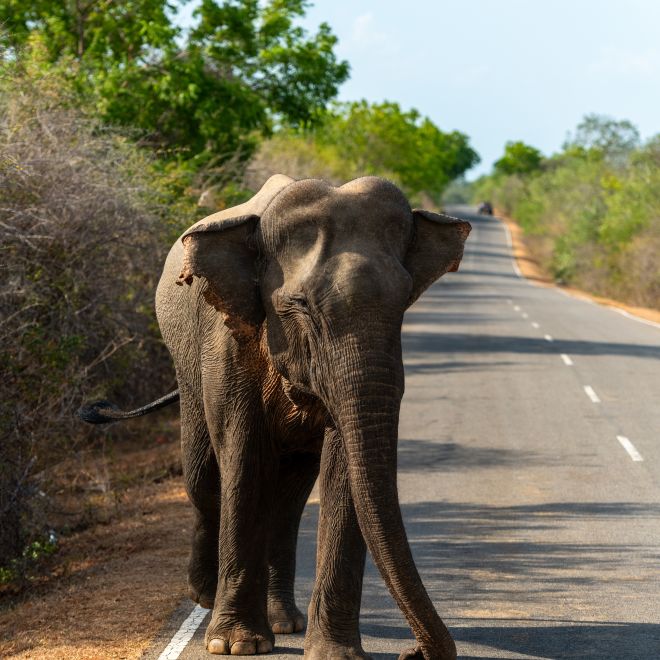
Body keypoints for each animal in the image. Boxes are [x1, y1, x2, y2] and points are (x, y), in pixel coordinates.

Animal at [80, 175, 470, 659]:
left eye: (403, 302)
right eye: (300, 304)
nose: (412, 652)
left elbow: (342, 466)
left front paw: (336, 654)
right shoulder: (226, 341)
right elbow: (244, 456)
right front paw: (235, 646)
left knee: (287, 502)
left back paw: (285, 621)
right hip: (186, 368)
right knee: (203, 478)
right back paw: (204, 596)